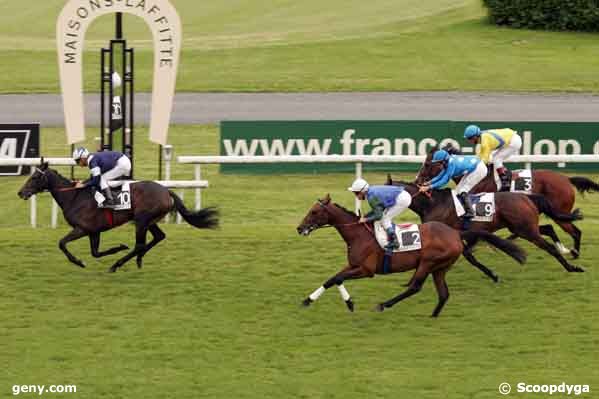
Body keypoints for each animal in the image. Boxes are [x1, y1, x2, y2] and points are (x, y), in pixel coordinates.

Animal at [17, 162, 220, 272]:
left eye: (35, 177)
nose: (21, 192)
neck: (74, 197)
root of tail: (166, 191)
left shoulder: (82, 228)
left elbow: (62, 243)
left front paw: (79, 262)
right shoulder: (94, 231)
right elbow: (96, 252)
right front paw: (117, 248)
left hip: (141, 220)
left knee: (140, 244)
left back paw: (118, 264)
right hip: (149, 220)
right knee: (158, 237)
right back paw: (138, 259)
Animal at [296, 195, 524, 318]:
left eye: (314, 212)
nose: (300, 228)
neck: (358, 235)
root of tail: (455, 233)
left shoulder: (366, 270)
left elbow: (337, 278)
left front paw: (349, 303)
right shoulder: (353, 265)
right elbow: (332, 278)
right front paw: (308, 300)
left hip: (427, 262)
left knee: (416, 287)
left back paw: (384, 305)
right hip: (440, 268)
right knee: (444, 294)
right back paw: (433, 316)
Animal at [412, 147, 599, 260]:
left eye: (427, 164)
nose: (417, 180)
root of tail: (567, 179)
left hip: (559, 212)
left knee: (574, 231)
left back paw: (573, 252)